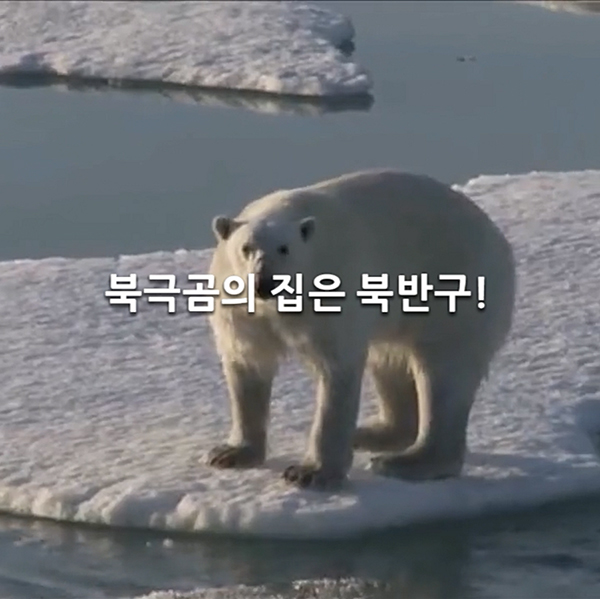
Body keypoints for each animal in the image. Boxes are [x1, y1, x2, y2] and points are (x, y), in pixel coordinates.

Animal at [206, 169, 516, 492]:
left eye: (284, 248)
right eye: (246, 248)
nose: (264, 282)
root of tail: (500, 242)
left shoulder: (330, 288)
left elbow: (336, 371)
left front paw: (310, 472)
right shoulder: (239, 308)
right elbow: (248, 364)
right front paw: (230, 453)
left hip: (455, 289)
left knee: (443, 371)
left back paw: (405, 462)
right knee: (390, 360)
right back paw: (371, 434)